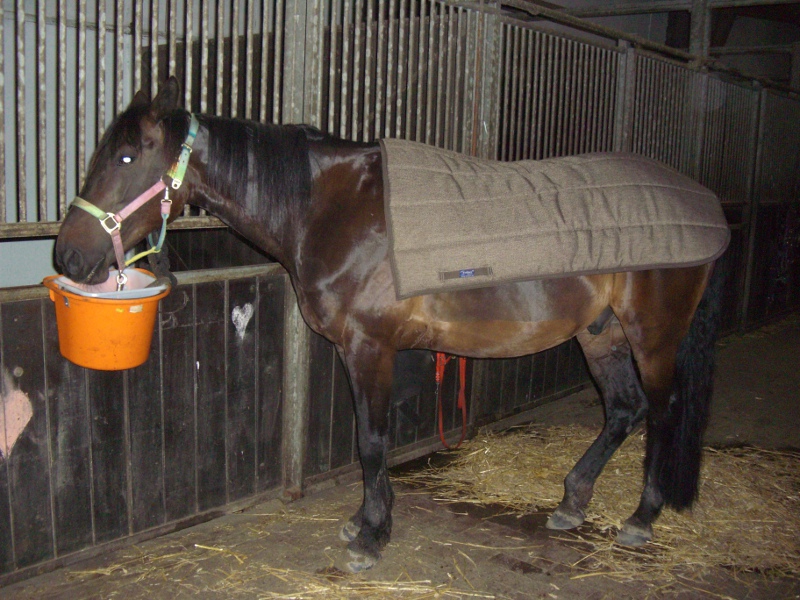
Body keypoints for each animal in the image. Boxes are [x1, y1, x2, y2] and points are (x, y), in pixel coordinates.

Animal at [55, 77, 725, 573]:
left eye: (125, 156)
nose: (68, 258)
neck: (331, 207)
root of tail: (702, 206)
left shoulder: (368, 348)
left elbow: (372, 442)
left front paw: (371, 537)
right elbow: (368, 441)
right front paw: (365, 522)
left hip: (652, 336)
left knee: (662, 412)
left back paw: (640, 519)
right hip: (601, 334)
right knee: (623, 409)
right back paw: (571, 503)